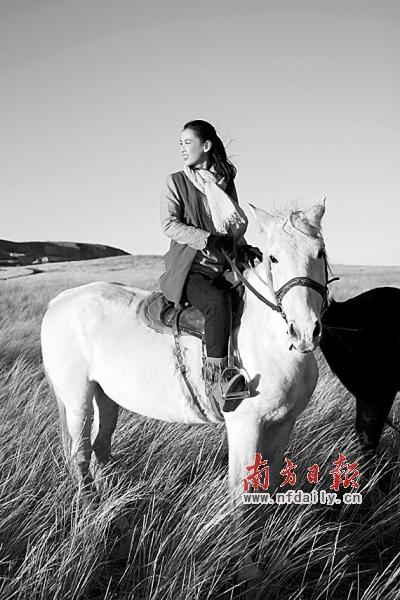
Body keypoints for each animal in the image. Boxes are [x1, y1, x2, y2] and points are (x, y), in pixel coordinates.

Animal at [40, 199, 331, 581]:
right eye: (274, 258)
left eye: (320, 251)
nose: (305, 331)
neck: (267, 337)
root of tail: (58, 302)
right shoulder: (245, 426)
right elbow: (241, 490)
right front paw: (248, 566)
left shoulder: (283, 424)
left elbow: (268, 485)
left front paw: (270, 554)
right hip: (77, 401)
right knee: (80, 457)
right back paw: (94, 519)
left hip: (107, 398)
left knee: (100, 451)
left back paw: (117, 519)